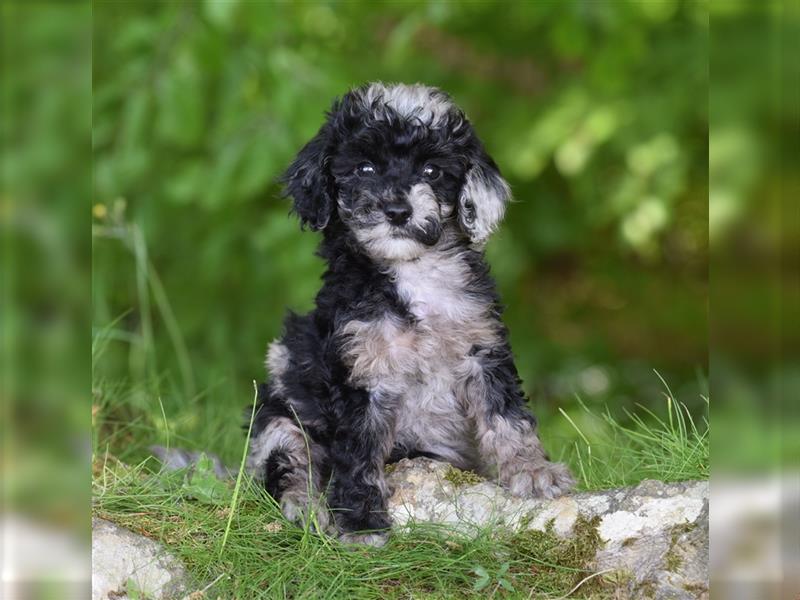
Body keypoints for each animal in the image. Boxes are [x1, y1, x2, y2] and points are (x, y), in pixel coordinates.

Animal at [247, 82, 572, 548]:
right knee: (290, 466)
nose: (398, 210)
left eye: (432, 171)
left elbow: (507, 416)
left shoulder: (483, 348)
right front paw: (361, 523)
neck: (414, 273)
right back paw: (308, 509)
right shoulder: (360, 371)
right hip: (280, 411)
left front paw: (532, 470)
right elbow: (358, 453)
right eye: (364, 168)